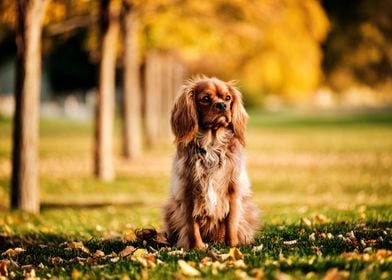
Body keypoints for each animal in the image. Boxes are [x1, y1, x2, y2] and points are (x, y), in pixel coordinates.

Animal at [161, 75, 258, 248]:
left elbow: (231, 222)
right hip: (169, 208)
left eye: (228, 98)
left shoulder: (233, 191)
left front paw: (233, 246)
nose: (222, 105)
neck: (212, 145)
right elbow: (192, 224)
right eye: (205, 99)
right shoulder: (188, 192)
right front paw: (197, 248)